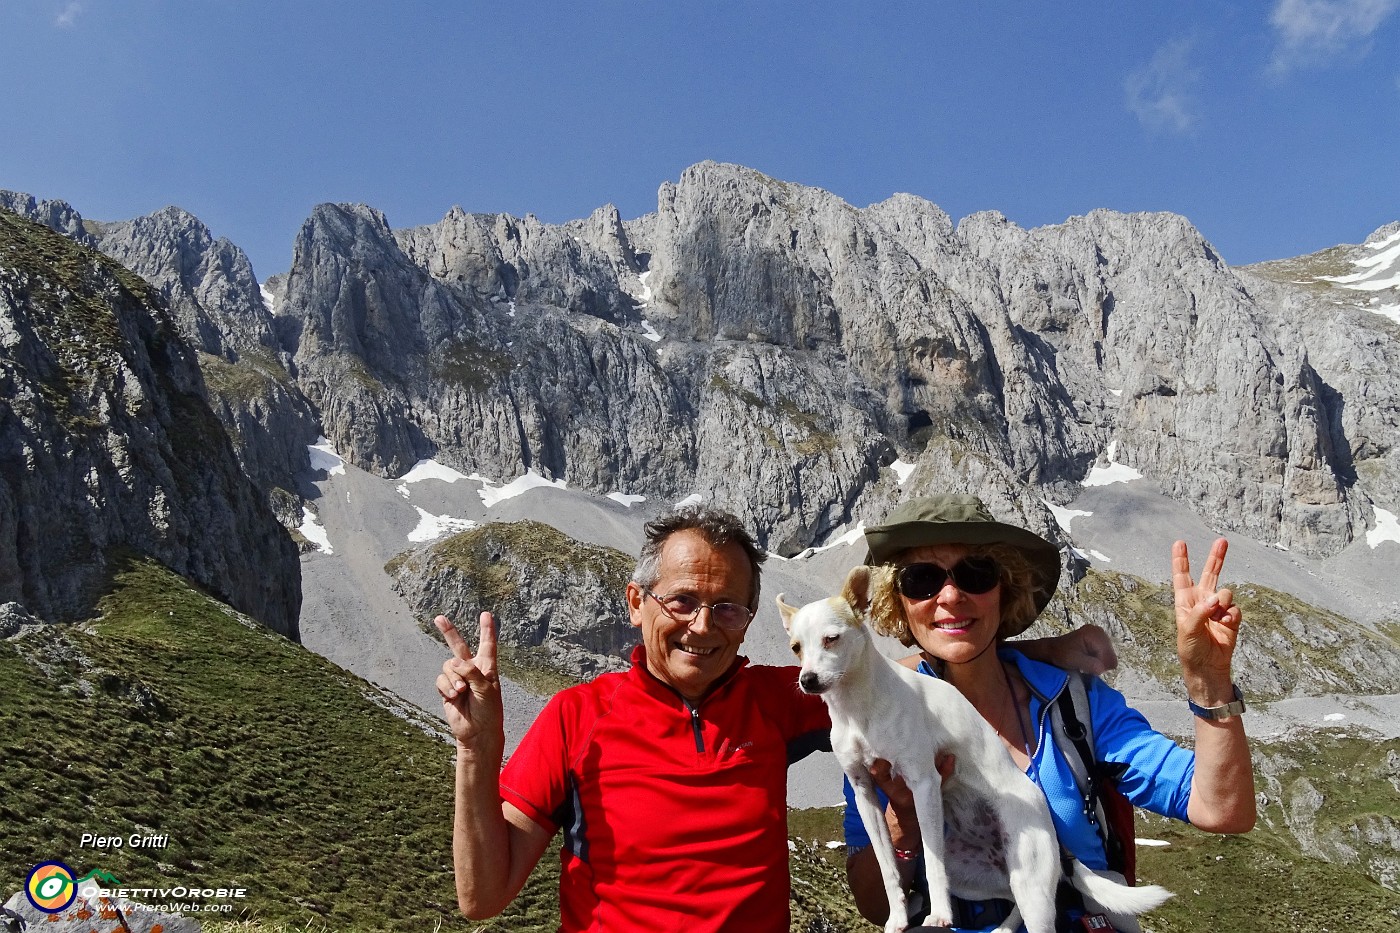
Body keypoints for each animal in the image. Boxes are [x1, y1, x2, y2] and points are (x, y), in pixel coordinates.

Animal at [778, 563, 1170, 930]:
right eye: (796, 647)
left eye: (832, 639)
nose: (808, 680)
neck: (857, 709)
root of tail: (1059, 849)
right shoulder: (864, 793)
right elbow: (888, 868)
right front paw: (898, 918)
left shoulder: (923, 783)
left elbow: (932, 862)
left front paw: (938, 915)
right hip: (981, 878)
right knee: (1009, 900)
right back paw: (1002, 929)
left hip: (1033, 886)